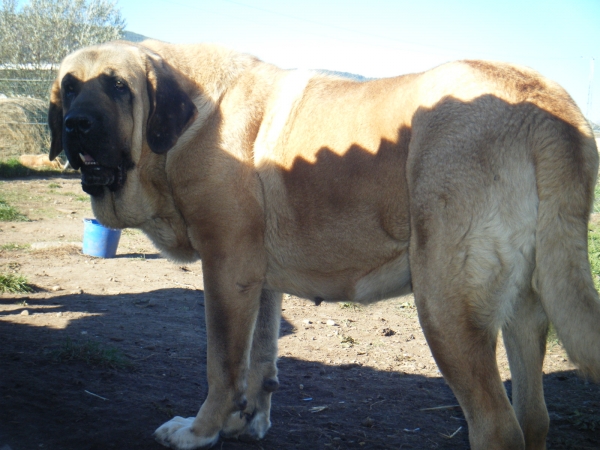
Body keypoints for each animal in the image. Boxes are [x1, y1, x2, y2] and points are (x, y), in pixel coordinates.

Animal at [48, 40, 600, 448]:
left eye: (119, 87)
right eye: (70, 87)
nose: (76, 125)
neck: (191, 121)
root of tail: (549, 107)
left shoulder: (227, 268)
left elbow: (222, 363)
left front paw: (201, 431)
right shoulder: (259, 281)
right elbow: (260, 357)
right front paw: (245, 421)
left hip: (445, 308)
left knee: (497, 428)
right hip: (524, 311)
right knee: (534, 418)